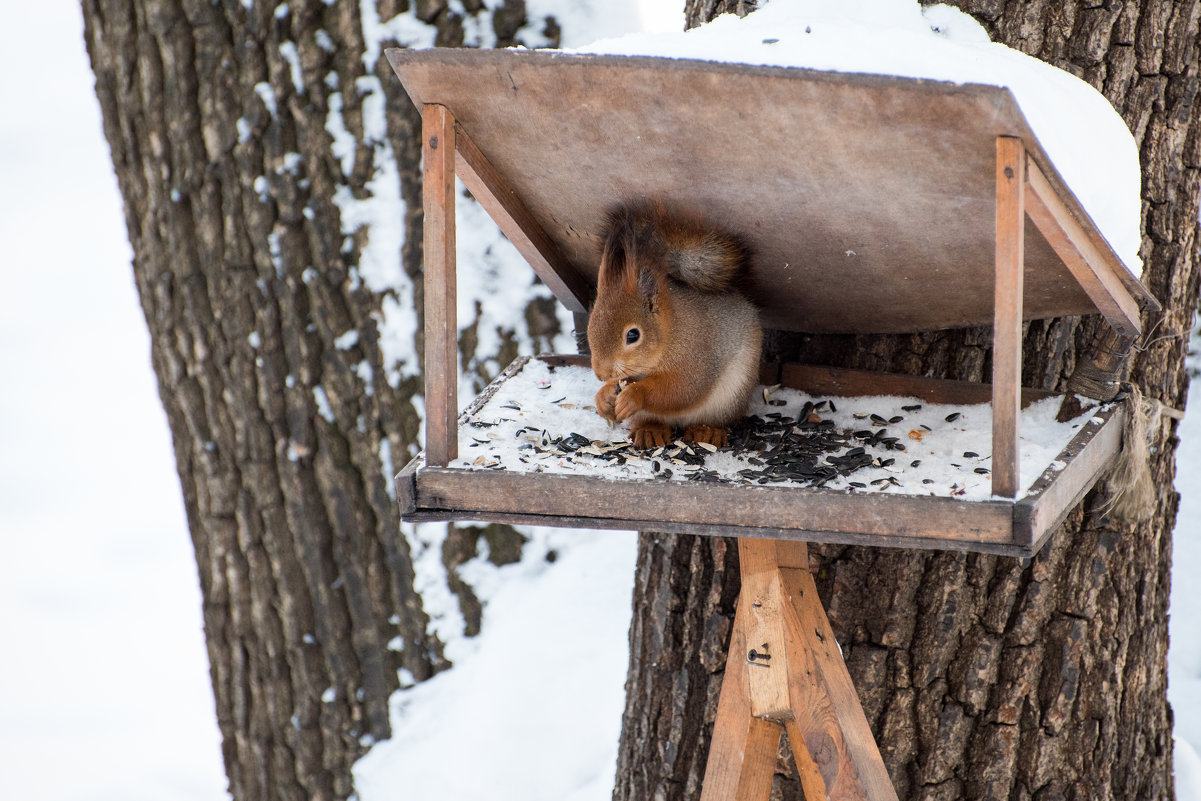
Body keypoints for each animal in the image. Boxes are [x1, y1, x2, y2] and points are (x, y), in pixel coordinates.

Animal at [586, 200, 763, 451]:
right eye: (591, 326)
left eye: (633, 335)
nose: (601, 374)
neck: (672, 331)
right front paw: (605, 396)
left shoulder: (697, 355)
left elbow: (681, 389)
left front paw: (634, 395)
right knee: (652, 420)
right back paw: (649, 430)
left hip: (731, 396)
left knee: (713, 419)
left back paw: (706, 431)